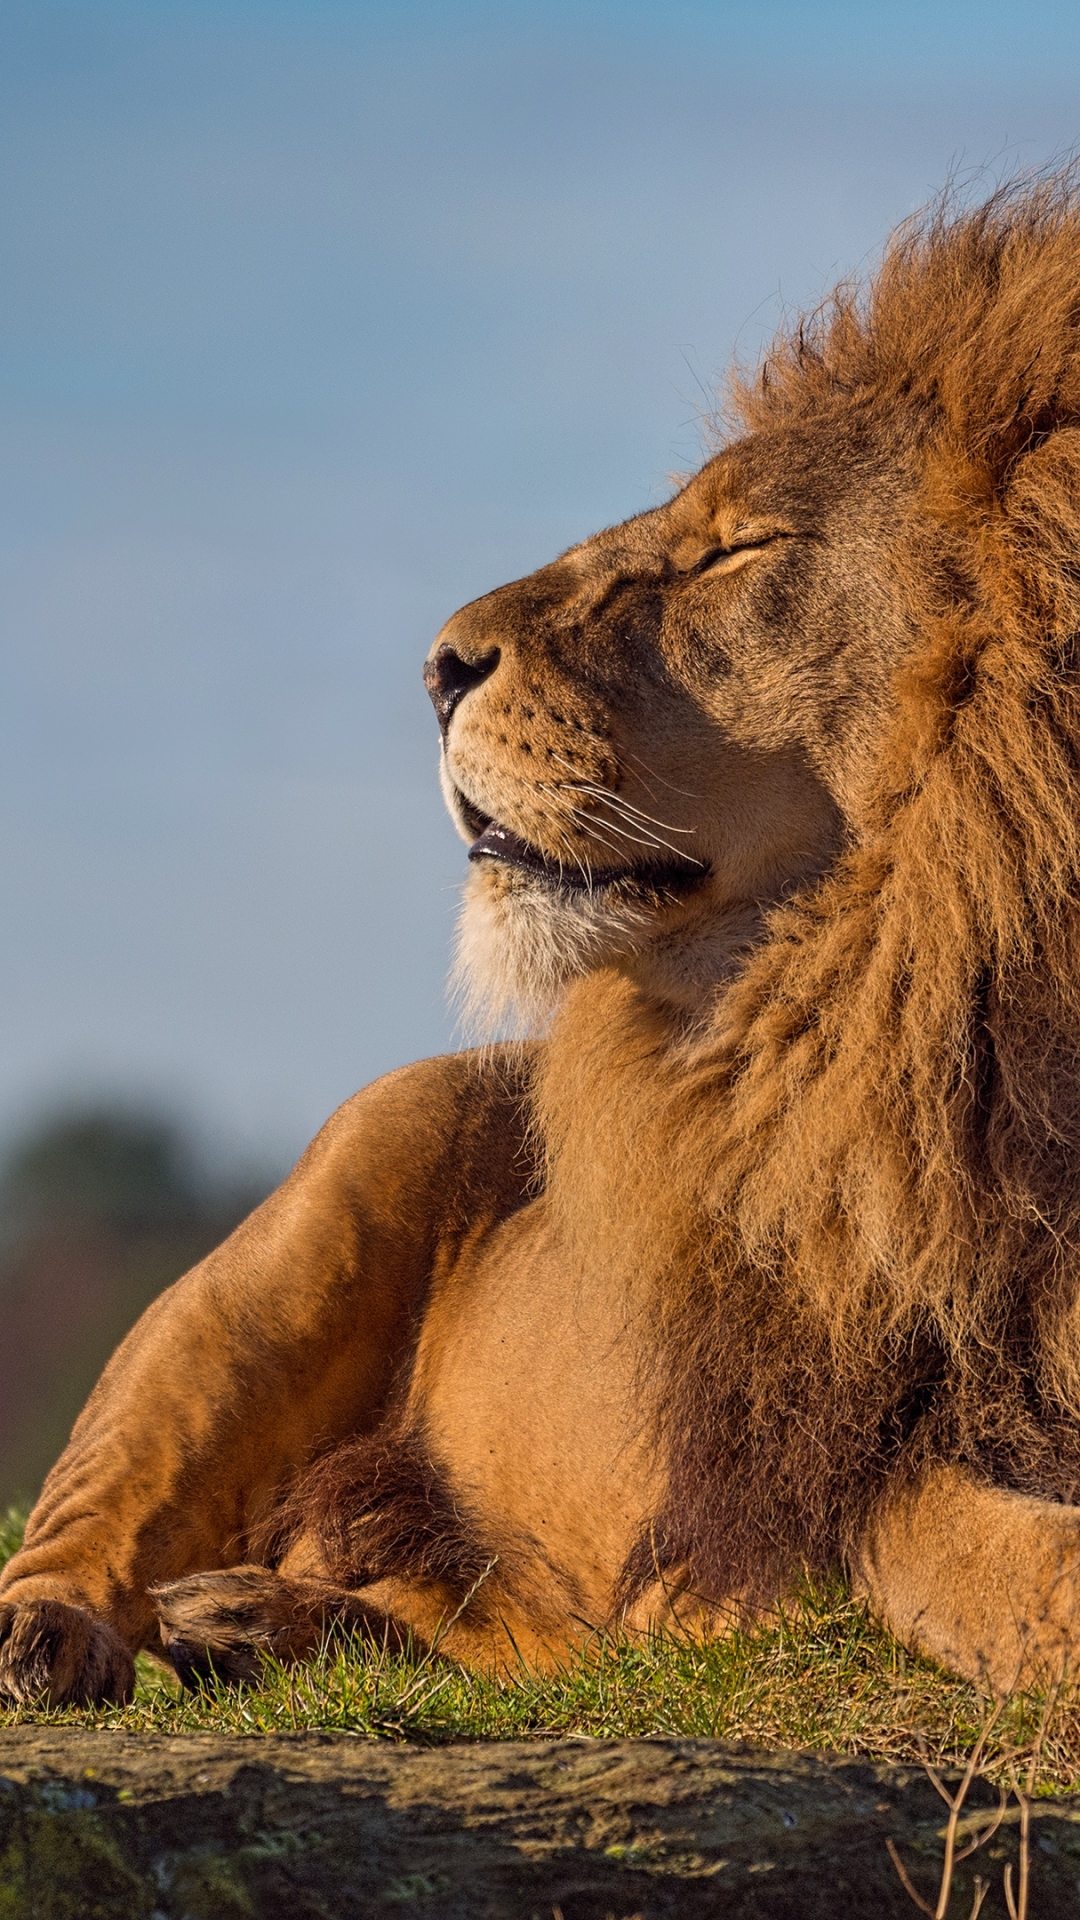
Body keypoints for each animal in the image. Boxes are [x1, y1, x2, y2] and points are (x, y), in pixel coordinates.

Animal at [4, 183, 1076, 1712]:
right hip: (300, 1232)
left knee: (492, 1631)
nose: (436, 666)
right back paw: (70, 1634)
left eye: (734, 551)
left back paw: (266, 1623)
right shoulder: (811, 1472)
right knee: (91, 1518)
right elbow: (974, 1554)